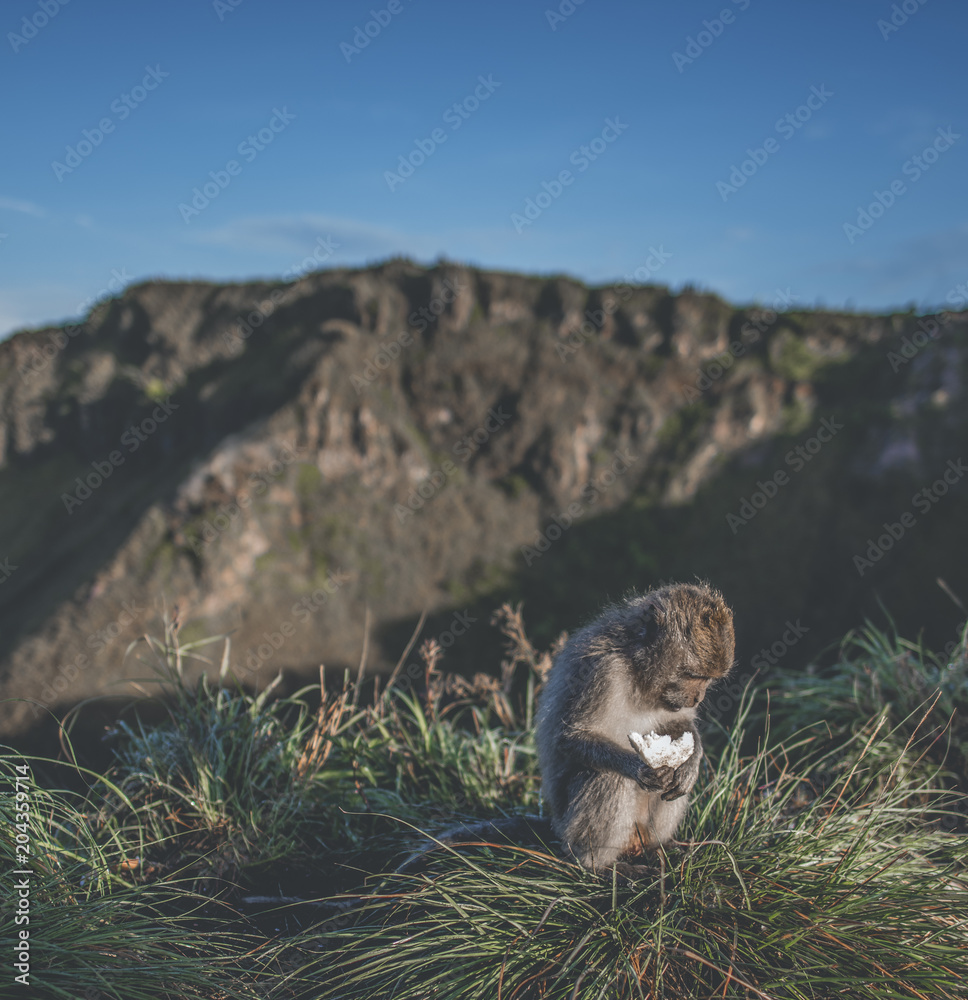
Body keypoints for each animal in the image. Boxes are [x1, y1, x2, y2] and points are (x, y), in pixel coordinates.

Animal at [536, 584, 732, 872]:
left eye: (709, 679)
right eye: (693, 676)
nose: (698, 698)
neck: (638, 669)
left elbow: (679, 724)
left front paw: (692, 762)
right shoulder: (603, 672)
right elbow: (572, 737)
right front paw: (639, 769)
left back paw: (659, 846)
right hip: (568, 828)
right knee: (609, 777)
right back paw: (599, 866)